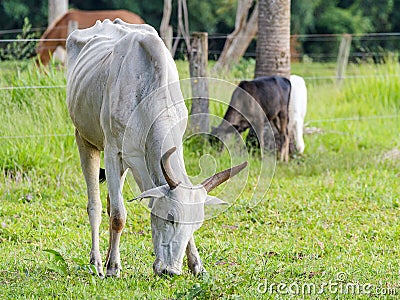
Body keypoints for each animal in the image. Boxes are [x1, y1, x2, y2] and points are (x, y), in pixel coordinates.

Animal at [66, 18, 247, 276]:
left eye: (196, 224)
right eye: (170, 218)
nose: (170, 271)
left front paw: (196, 264)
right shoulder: (112, 152)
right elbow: (118, 216)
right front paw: (113, 269)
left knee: (110, 203)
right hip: (85, 140)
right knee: (97, 206)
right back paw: (98, 262)